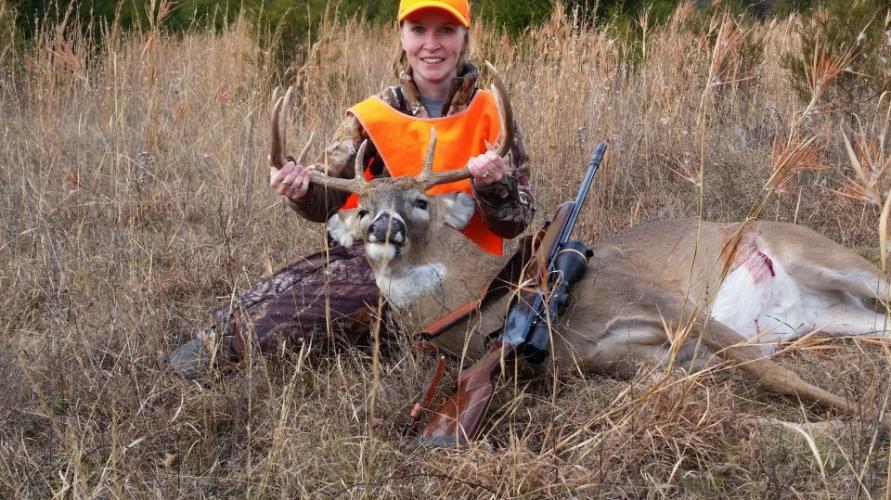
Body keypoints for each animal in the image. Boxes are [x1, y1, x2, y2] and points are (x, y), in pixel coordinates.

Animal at [269, 66, 891, 436]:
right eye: (362, 209)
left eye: (421, 202)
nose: (383, 227)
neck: (492, 295)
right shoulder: (620, 361)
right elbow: (731, 383)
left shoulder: (661, 297)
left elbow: (768, 371)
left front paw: (856, 419)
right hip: (828, 316)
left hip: (824, 256)